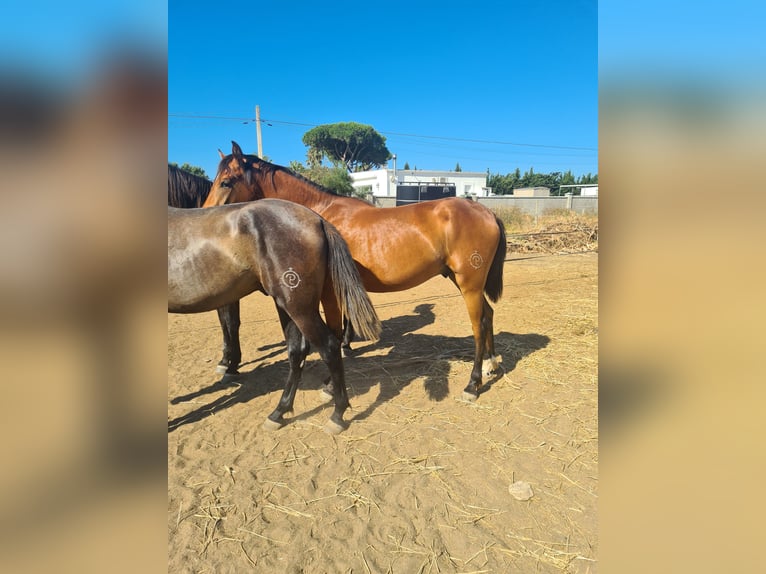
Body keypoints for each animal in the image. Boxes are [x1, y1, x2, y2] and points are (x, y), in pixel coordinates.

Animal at [170, 198, 382, 432]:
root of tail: (318, 220)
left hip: (299, 308)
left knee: (328, 347)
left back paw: (337, 415)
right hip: (289, 305)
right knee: (297, 352)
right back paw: (279, 412)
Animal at [202, 142, 510, 402]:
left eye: (226, 181)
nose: (205, 216)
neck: (319, 216)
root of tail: (485, 212)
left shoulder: (329, 293)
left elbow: (335, 334)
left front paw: (330, 386)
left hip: (469, 284)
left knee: (478, 325)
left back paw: (473, 384)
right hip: (463, 281)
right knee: (488, 316)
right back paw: (492, 365)